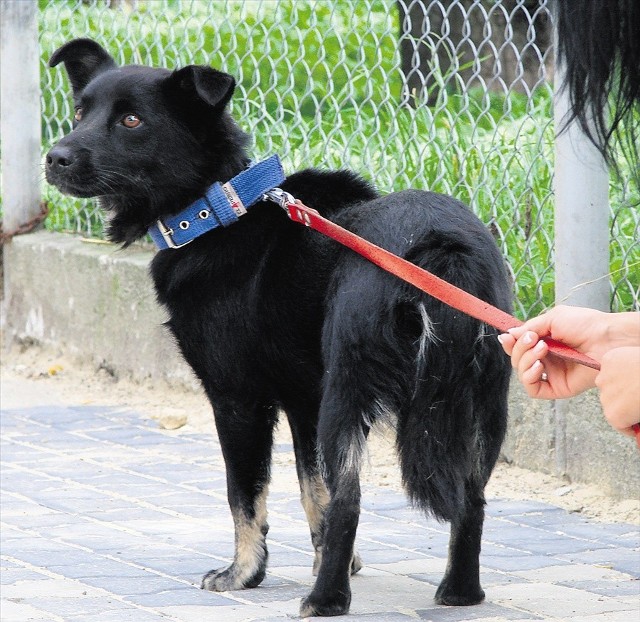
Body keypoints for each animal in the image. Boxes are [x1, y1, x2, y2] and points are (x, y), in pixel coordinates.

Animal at [46, 39, 510, 620]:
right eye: (80, 112)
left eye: (131, 120)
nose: (54, 157)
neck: (216, 209)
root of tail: (438, 243)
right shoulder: (303, 398)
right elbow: (316, 495)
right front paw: (333, 559)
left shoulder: (239, 398)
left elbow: (246, 494)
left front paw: (244, 574)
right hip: (481, 402)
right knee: (473, 498)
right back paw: (460, 592)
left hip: (349, 392)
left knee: (353, 499)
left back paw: (325, 600)